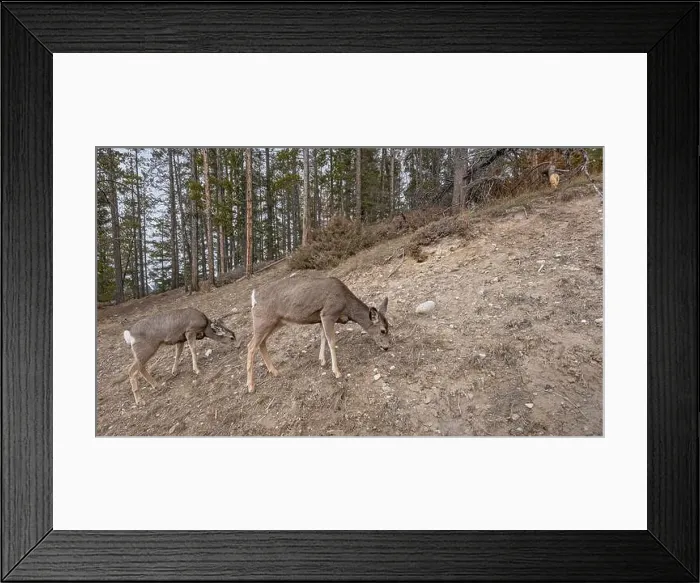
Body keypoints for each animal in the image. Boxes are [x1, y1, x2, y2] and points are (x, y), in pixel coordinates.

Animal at [246, 275, 391, 393]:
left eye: (389, 327)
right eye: (382, 330)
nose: (387, 347)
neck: (346, 306)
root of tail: (253, 296)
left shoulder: (320, 317)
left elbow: (323, 337)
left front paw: (322, 360)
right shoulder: (328, 313)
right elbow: (331, 341)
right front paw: (336, 371)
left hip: (276, 322)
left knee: (261, 343)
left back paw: (275, 371)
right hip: (263, 320)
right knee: (251, 346)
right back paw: (251, 386)